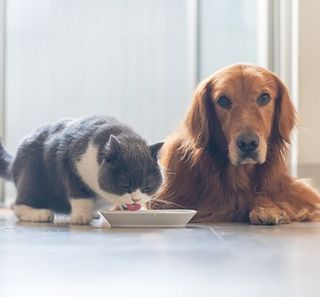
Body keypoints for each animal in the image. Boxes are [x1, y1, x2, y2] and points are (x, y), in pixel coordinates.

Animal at [0, 115, 164, 224]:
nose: (136, 199)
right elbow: (81, 196)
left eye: (147, 186)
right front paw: (80, 217)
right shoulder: (72, 168)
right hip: (32, 177)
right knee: (20, 204)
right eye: (124, 185)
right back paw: (39, 214)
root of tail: (14, 161)